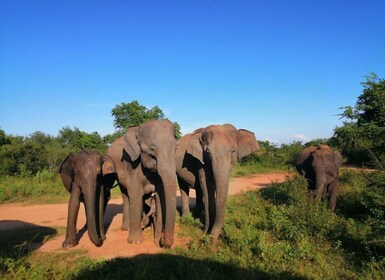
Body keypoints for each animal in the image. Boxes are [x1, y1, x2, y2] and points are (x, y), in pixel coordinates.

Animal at [106, 118, 176, 247]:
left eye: (176, 148)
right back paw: (126, 228)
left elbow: (159, 195)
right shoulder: (130, 164)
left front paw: (156, 241)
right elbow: (135, 194)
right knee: (126, 196)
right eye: (152, 149)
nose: (162, 242)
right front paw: (136, 242)